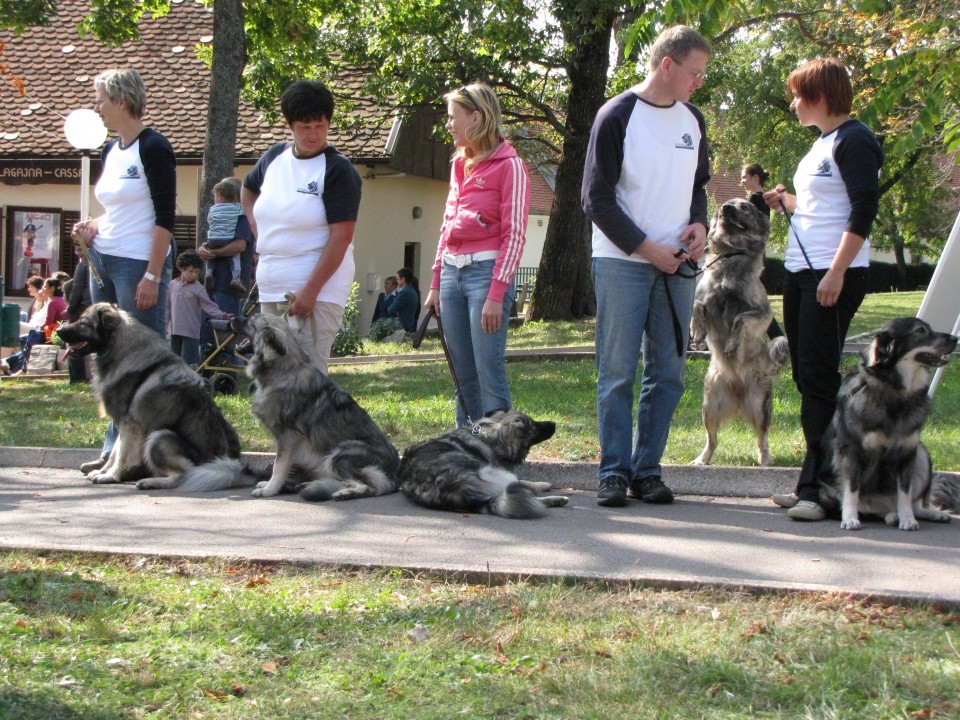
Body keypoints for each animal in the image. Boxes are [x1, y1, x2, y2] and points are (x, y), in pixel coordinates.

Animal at [54, 300, 253, 492]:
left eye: (83, 322)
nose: (58, 330)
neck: (121, 349)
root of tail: (230, 466)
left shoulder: (129, 424)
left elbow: (122, 454)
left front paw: (111, 476)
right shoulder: (124, 423)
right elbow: (115, 452)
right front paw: (104, 471)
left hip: (159, 437)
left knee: (184, 475)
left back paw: (150, 481)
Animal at [231, 312, 400, 504]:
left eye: (251, 321)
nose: (231, 319)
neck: (283, 370)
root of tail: (394, 476)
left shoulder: (288, 437)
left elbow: (278, 465)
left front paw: (269, 489)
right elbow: (282, 465)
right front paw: (271, 485)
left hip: (339, 456)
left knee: (367, 487)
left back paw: (343, 494)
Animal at [400, 410, 568, 516]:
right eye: (533, 424)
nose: (554, 423)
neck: (492, 436)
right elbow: (526, 482)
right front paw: (542, 484)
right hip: (496, 474)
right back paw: (557, 499)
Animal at [688, 197, 788, 466]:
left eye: (745, 207)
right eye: (726, 204)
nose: (725, 208)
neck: (730, 254)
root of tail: (739, 396)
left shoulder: (762, 314)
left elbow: (740, 319)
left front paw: (733, 343)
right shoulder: (706, 299)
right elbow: (697, 305)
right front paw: (698, 334)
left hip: (761, 406)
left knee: (762, 438)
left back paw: (765, 460)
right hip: (709, 406)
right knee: (712, 439)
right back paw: (702, 459)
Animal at [816, 318, 960, 532]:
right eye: (920, 331)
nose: (955, 338)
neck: (895, 393)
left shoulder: (908, 452)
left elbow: (905, 494)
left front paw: (907, 519)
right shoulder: (850, 452)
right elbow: (851, 490)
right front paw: (849, 518)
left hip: (922, 455)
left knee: (914, 504)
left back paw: (920, 514)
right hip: (827, 490)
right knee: (870, 509)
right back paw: (890, 515)